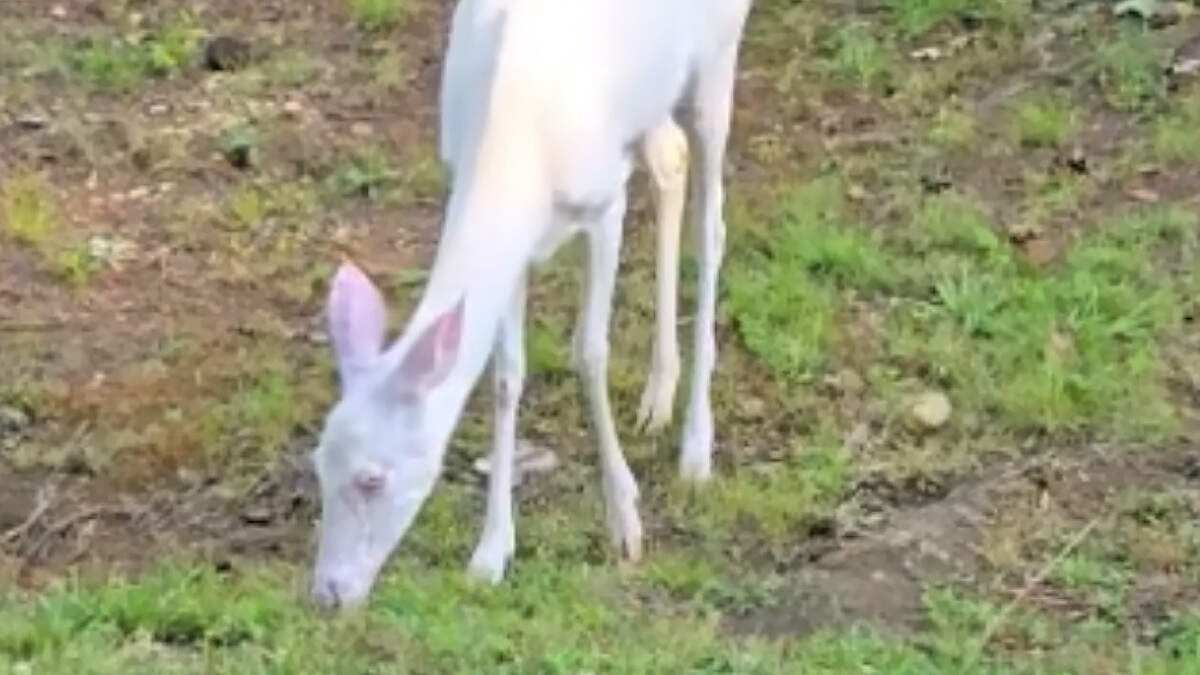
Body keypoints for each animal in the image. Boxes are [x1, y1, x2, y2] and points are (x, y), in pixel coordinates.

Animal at [309, 0, 753, 609]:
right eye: (318, 463)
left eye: (372, 480)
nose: (326, 594)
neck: (514, 144)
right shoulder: (512, 249)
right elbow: (505, 378)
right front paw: (490, 554)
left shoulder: (605, 201)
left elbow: (590, 351)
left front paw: (625, 522)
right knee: (670, 157)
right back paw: (657, 395)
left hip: (719, 50)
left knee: (712, 223)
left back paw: (695, 449)